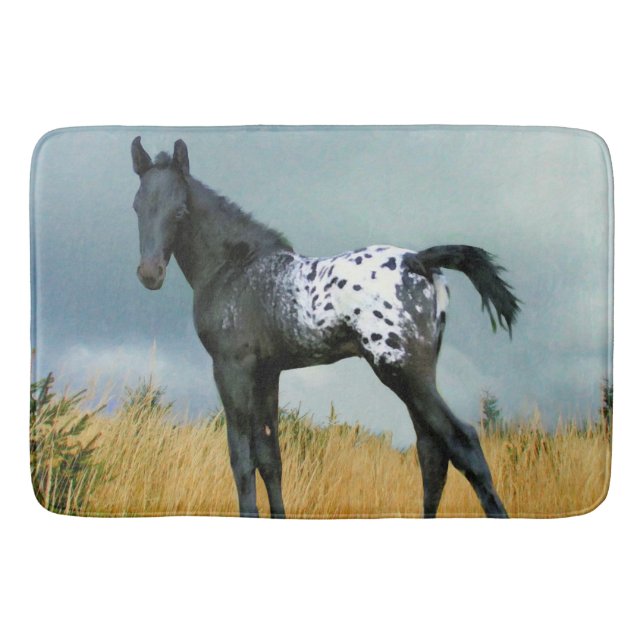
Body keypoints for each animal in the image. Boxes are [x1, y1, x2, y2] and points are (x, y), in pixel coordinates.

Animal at [131, 137, 520, 518]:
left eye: (180, 211)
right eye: (137, 206)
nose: (150, 274)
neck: (235, 268)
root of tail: (418, 261)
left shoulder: (231, 368)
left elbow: (241, 458)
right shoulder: (267, 373)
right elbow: (270, 458)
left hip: (403, 371)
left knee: (461, 442)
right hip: (417, 375)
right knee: (432, 453)